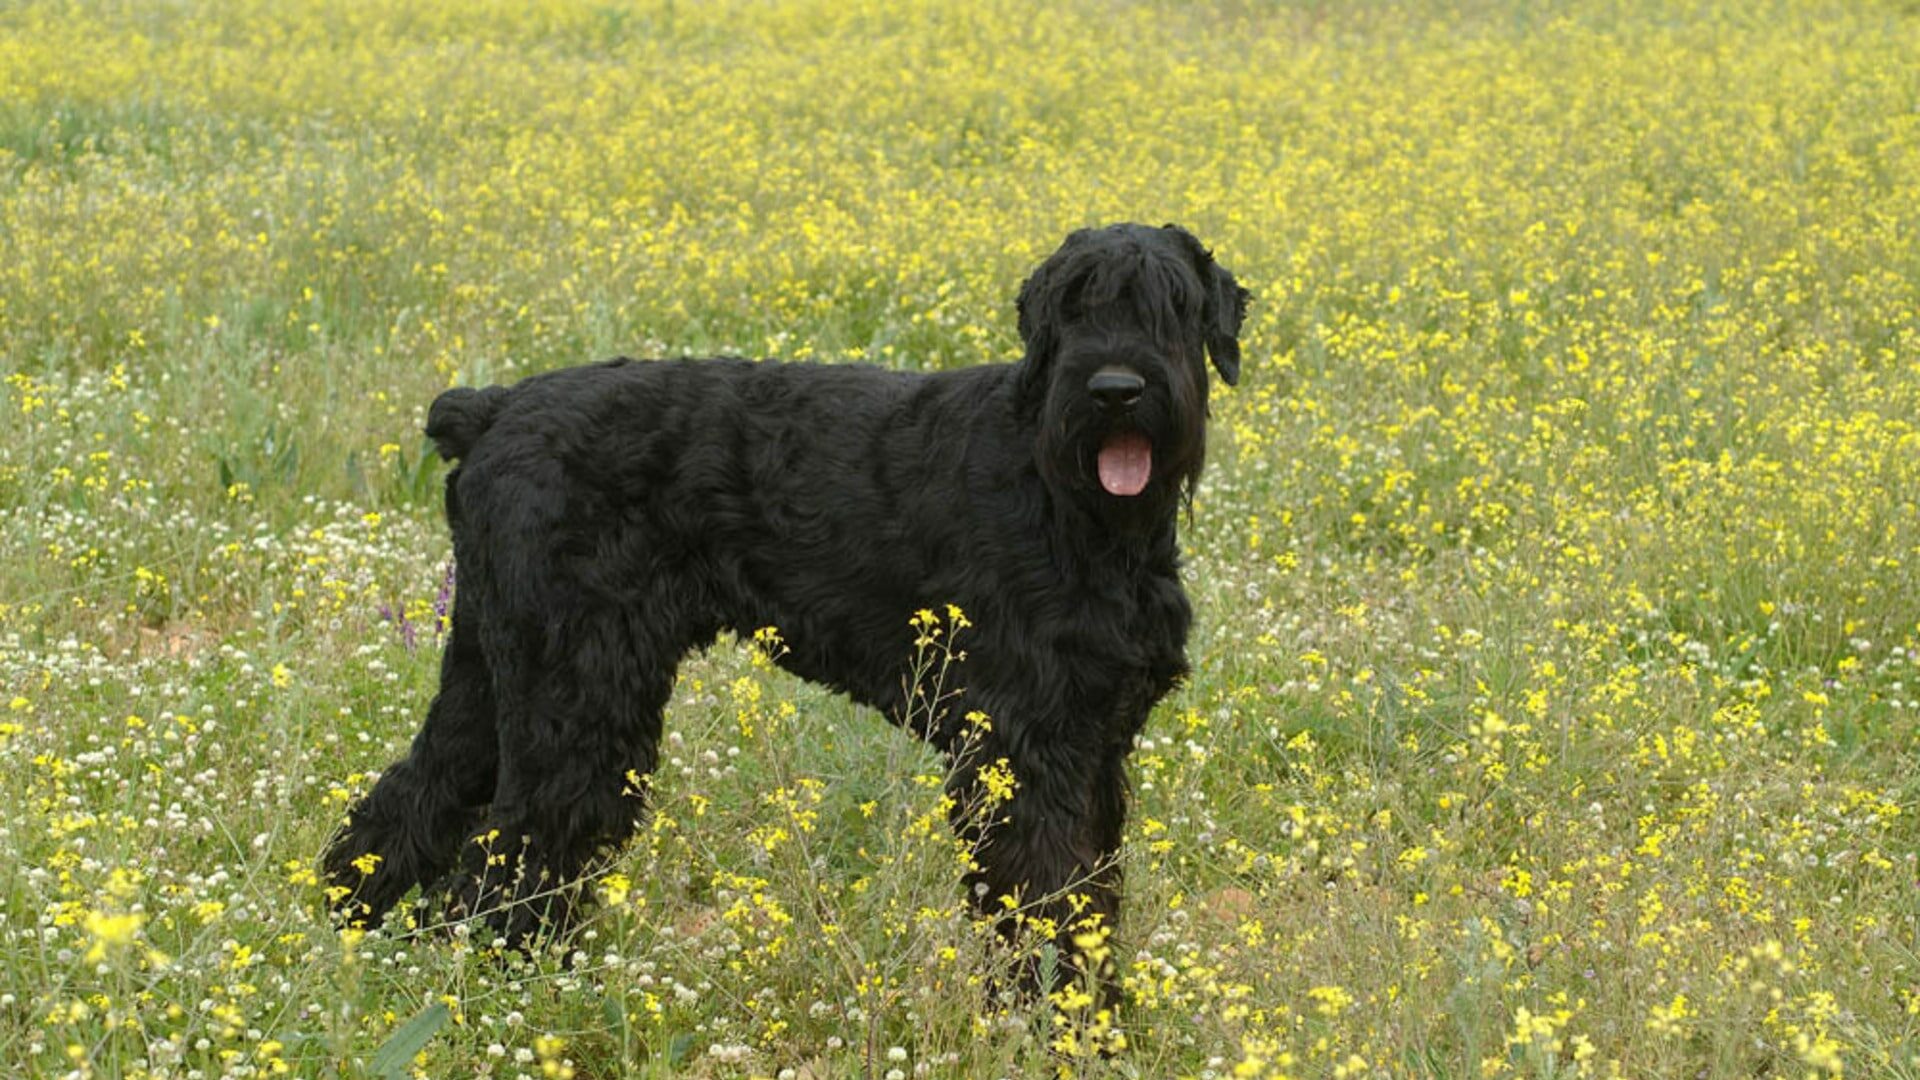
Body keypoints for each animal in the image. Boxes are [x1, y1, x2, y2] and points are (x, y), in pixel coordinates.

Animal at [324, 220, 1251, 991]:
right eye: (1071, 306)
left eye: (1173, 304)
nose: (1115, 390)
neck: (1076, 504)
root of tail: (493, 409)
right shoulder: (1026, 746)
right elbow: (1049, 903)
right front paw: (1063, 1025)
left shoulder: (1092, 745)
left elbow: (1089, 897)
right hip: (575, 702)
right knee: (508, 857)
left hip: (492, 672)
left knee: (415, 797)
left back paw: (348, 932)